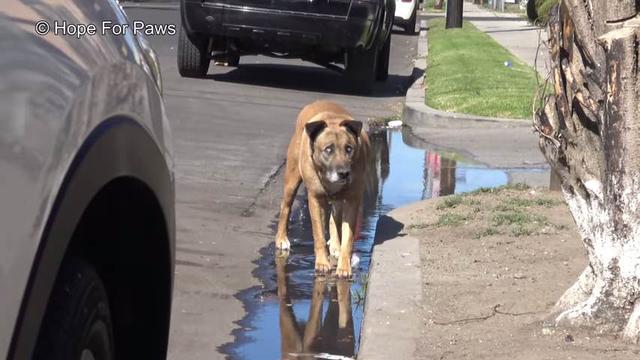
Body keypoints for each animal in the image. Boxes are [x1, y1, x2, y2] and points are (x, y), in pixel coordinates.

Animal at [276, 100, 370, 278]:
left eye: (349, 149)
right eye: (328, 149)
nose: (344, 173)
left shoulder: (352, 199)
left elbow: (348, 237)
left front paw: (344, 266)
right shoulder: (315, 198)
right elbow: (318, 234)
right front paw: (321, 263)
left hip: (339, 200)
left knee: (335, 219)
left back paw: (335, 245)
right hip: (292, 179)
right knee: (285, 207)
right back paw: (281, 238)